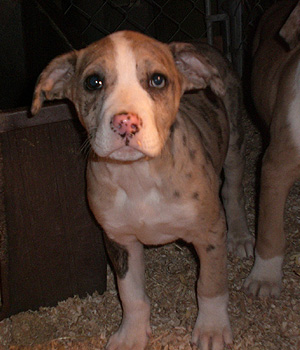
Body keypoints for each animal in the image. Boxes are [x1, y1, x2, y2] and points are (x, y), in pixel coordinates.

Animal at [31, 30, 252, 350]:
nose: (126, 122)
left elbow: (210, 283)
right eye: (93, 82)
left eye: (157, 80)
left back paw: (241, 235)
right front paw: (131, 335)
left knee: (233, 191)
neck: (138, 176)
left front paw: (211, 329)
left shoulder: (209, 233)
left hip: (234, 141)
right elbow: (131, 294)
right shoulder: (119, 239)